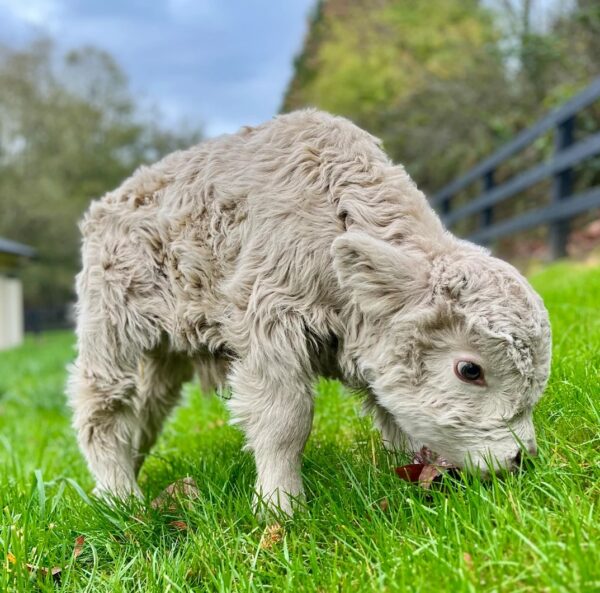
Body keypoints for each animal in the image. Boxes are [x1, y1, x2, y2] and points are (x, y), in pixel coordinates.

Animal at [68, 110, 552, 512]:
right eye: (469, 370)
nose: (520, 459)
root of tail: (107, 204)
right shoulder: (270, 322)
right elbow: (285, 420)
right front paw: (280, 507)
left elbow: (392, 413)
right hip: (110, 322)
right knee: (102, 406)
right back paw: (120, 499)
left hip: (165, 349)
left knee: (146, 411)